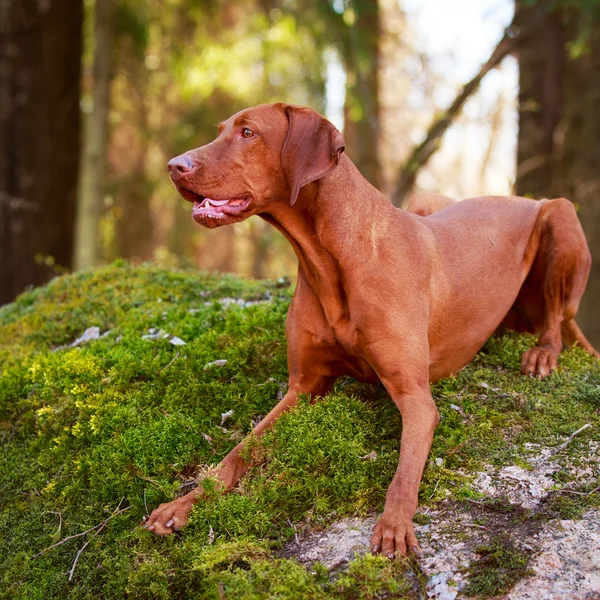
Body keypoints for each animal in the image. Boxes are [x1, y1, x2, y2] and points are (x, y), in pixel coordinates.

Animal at [144, 101, 596, 556]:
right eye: (221, 130)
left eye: (248, 132)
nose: (173, 165)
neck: (330, 259)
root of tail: (520, 198)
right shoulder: (303, 387)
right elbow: (241, 448)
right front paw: (185, 502)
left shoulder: (416, 398)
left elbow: (405, 471)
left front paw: (394, 526)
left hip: (560, 215)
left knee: (557, 319)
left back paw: (541, 354)